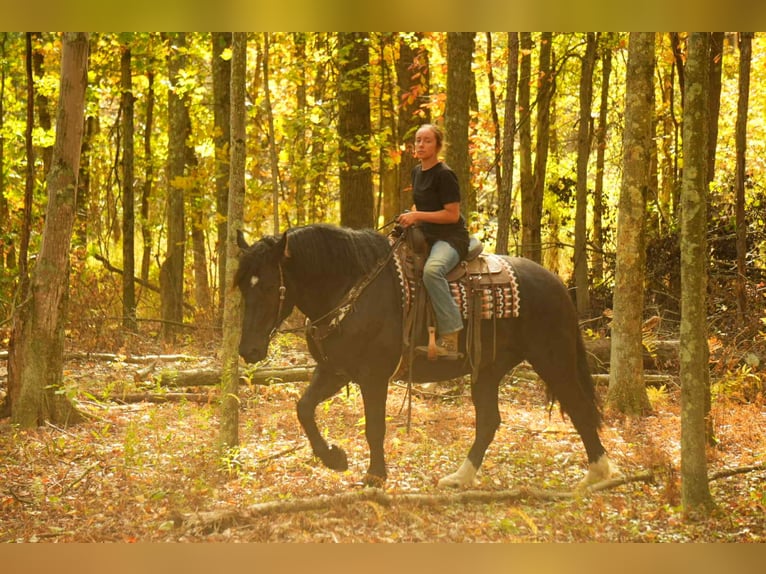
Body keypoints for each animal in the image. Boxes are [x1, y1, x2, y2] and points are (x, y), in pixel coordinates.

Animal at [235, 223, 616, 489]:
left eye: (268, 285)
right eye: (241, 285)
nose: (248, 350)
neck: (352, 289)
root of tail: (558, 285)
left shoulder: (373, 376)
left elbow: (375, 427)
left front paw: (375, 476)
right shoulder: (335, 370)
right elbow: (303, 408)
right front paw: (335, 458)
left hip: (553, 359)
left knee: (580, 409)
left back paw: (598, 474)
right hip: (487, 370)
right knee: (489, 422)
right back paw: (460, 478)